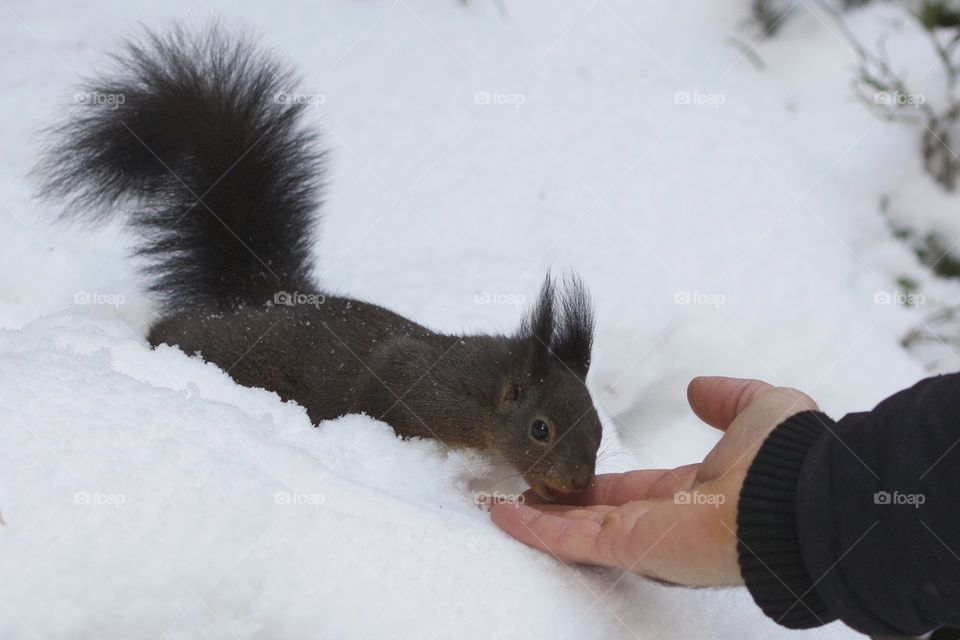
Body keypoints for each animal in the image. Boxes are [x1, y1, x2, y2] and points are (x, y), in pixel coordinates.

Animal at [41, 26, 604, 500]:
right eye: (540, 429)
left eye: (599, 427)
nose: (579, 483)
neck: (483, 394)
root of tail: (269, 297)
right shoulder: (416, 394)